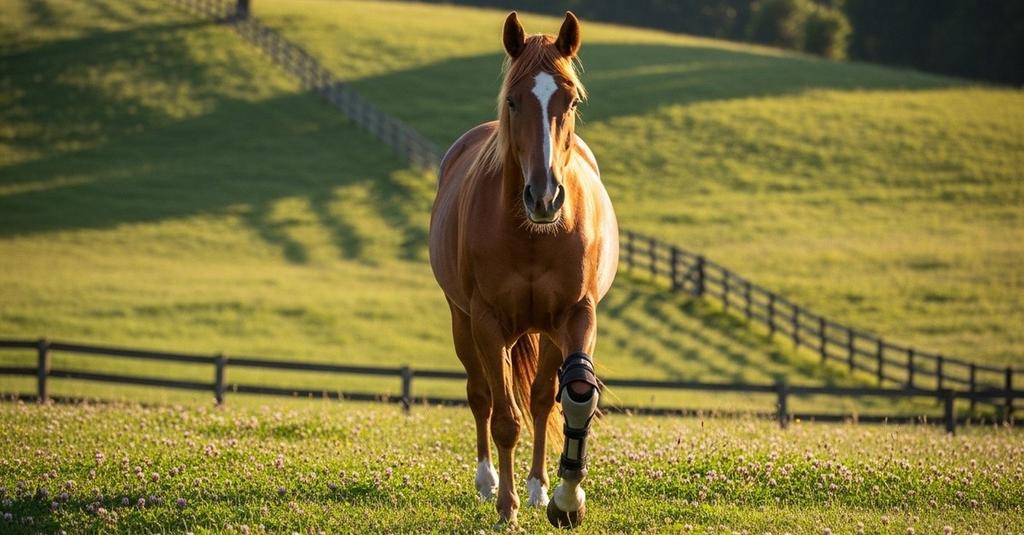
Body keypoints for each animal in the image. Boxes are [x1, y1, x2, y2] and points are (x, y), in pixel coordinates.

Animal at [428, 11, 618, 528]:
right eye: (514, 99)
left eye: (570, 100)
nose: (545, 197)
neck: (534, 236)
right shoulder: (487, 322)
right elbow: (503, 419)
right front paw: (506, 509)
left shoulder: (577, 315)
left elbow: (574, 396)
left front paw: (566, 500)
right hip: (462, 322)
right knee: (481, 395)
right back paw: (488, 482)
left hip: (547, 333)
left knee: (538, 398)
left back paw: (536, 488)